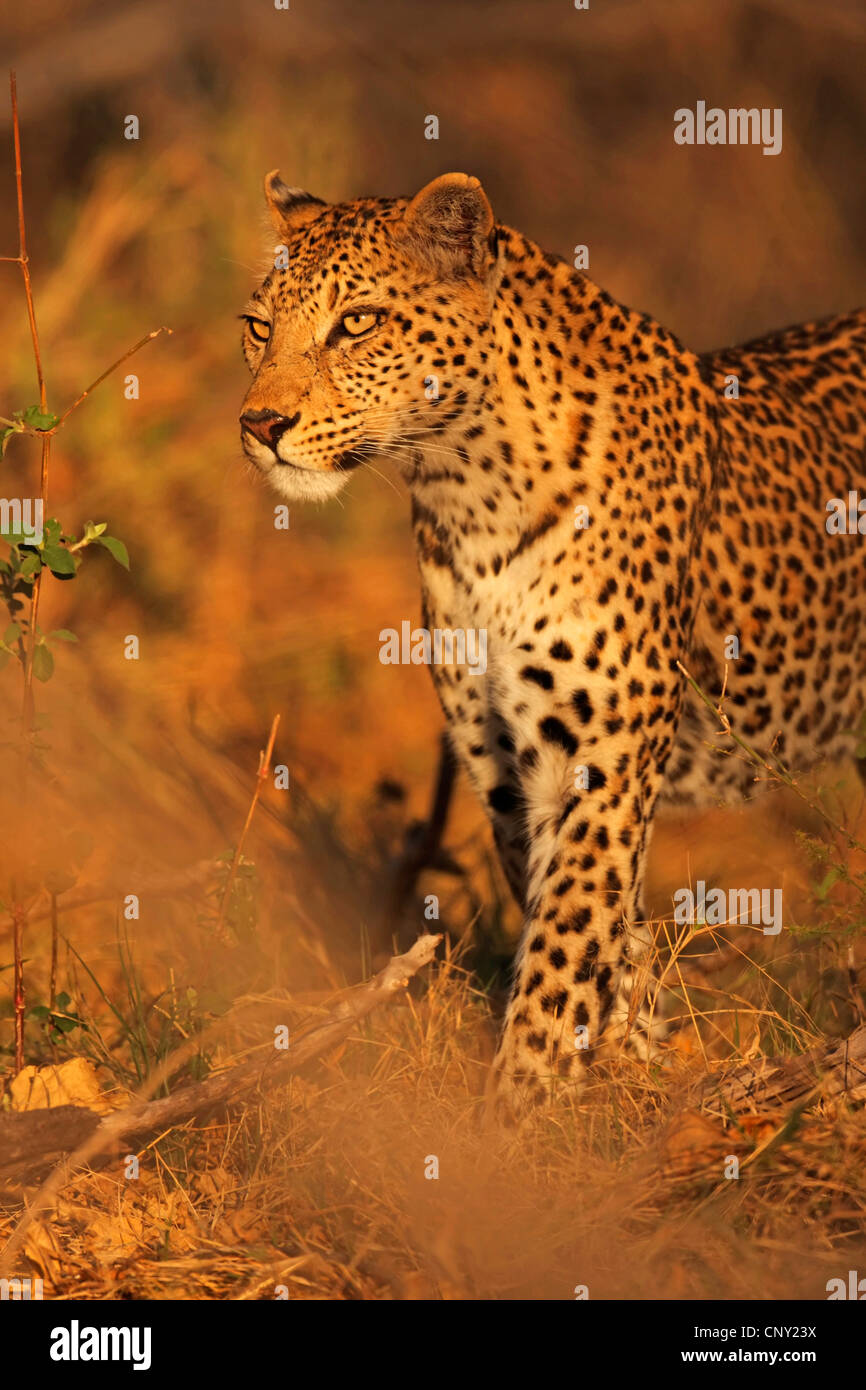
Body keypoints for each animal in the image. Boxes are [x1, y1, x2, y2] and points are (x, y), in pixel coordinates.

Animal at [237, 168, 866, 1112]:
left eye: (357, 323)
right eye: (257, 327)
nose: (259, 424)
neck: (467, 491)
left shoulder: (600, 757)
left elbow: (566, 937)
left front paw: (521, 1109)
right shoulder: (503, 761)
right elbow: (600, 929)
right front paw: (627, 1072)